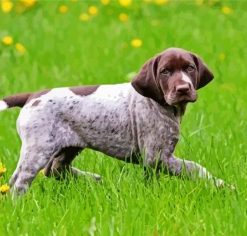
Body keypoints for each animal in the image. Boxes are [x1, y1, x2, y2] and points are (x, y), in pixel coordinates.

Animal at [0, 47, 226, 195]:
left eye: (190, 68)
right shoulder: (157, 157)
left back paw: (93, 179)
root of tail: (32, 96)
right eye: (165, 71)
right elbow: (194, 167)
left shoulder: (154, 161)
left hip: (69, 145)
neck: (160, 104)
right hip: (38, 149)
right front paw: (221, 184)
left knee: (55, 169)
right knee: (19, 181)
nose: (183, 89)